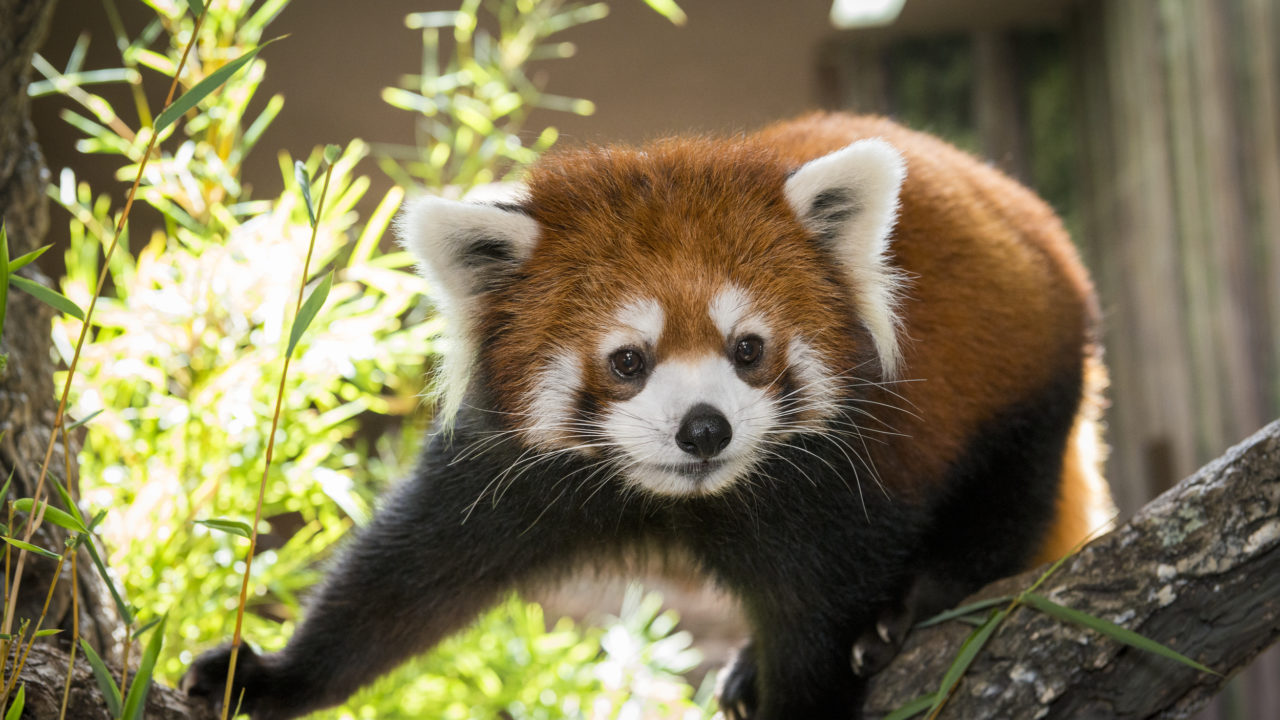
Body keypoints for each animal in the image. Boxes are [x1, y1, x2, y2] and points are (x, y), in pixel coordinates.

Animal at [185, 113, 1116, 717]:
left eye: (748, 349)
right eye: (628, 361)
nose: (705, 429)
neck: (677, 496)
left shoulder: (834, 485)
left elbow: (819, 625)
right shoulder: (507, 472)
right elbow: (403, 582)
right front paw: (270, 676)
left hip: (1028, 382)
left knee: (1005, 505)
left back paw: (916, 607)